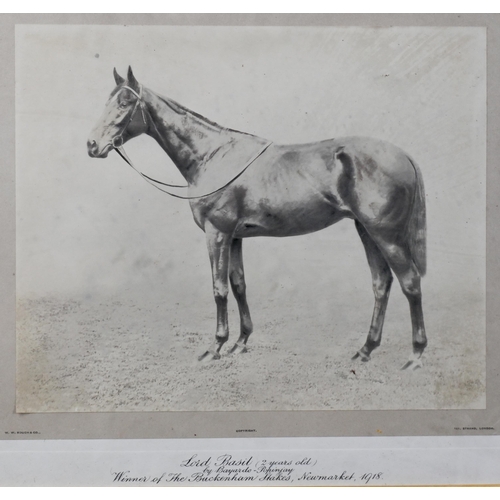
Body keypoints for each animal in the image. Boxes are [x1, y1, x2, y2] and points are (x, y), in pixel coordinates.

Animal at [88, 67, 428, 368]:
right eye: (107, 100)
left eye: (125, 102)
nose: (92, 145)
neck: (212, 156)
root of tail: (404, 155)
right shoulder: (235, 237)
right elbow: (239, 284)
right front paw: (240, 342)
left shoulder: (216, 233)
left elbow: (219, 288)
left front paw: (215, 347)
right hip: (366, 230)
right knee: (381, 283)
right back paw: (365, 350)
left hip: (386, 235)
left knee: (409, 282)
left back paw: (415, 355)